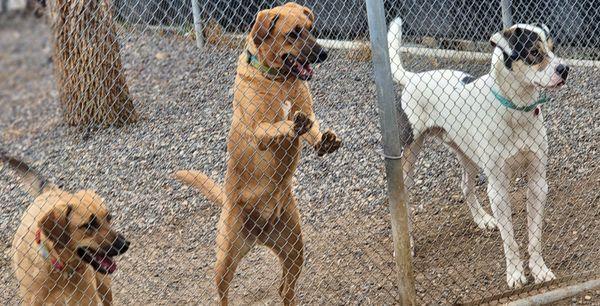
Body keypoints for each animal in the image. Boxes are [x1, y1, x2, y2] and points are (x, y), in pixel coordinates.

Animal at [1, 153, 129, 306]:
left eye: (109, 217)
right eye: (88, 225)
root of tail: (51, 191)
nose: (125, 244)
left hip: (104, 285)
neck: (63, 270)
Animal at [175, 1, 342, 304]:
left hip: (295, 248)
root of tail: (260, 233)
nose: (324, 53)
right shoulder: (259, 132)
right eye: (293, 33)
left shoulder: (309, 112)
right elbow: (278, 125)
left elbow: (312, 128)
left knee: (285, 288)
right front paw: (291, 123)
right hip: (224, 260)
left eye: (311, 29)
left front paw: (325, 141)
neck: (278, 80)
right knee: (223, 294)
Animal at [386, 17, 568, 288]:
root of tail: (413, 79)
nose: (564, 69)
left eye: (553, 48)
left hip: (467, 154)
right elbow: (510, 240)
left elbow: (534, 236)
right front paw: (515, 273)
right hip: (407, 159)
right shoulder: (498, 189)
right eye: (534, 53)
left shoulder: (538, 182)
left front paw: (539, 270)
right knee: (403, 204)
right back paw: (406, 245)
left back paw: (482, 219)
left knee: (465, 186)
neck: (517, 111)